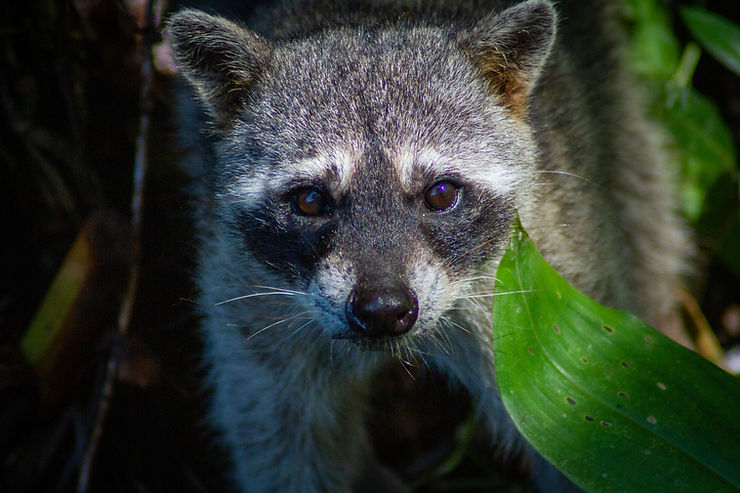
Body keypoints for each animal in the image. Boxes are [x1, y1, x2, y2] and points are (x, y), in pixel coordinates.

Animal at [166, 1, 688, 490]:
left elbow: (584, 442)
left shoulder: (544, 285)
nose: (382, 309)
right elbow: (278, 443)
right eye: (310, 201)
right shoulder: (248, 298)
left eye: (440, 194)